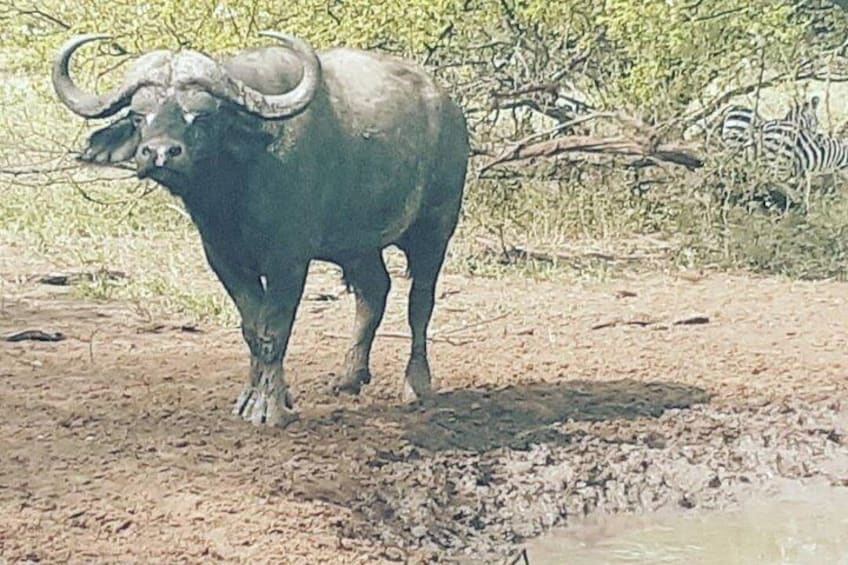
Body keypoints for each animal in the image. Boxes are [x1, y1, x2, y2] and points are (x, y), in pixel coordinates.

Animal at [52, 32, 469, 426]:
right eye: (140, 116)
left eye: (202, 116)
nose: (159, 153)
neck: (233, 190)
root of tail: (450, 108)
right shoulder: (223, 258)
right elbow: (252, 328)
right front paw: (253, 397)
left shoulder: (289, 260)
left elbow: (274, 330)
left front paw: (269, 408)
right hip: (357, 244)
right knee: (374, 290)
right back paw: (349, 377)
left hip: (435, 227)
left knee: (420, 303)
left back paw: (416, 385)